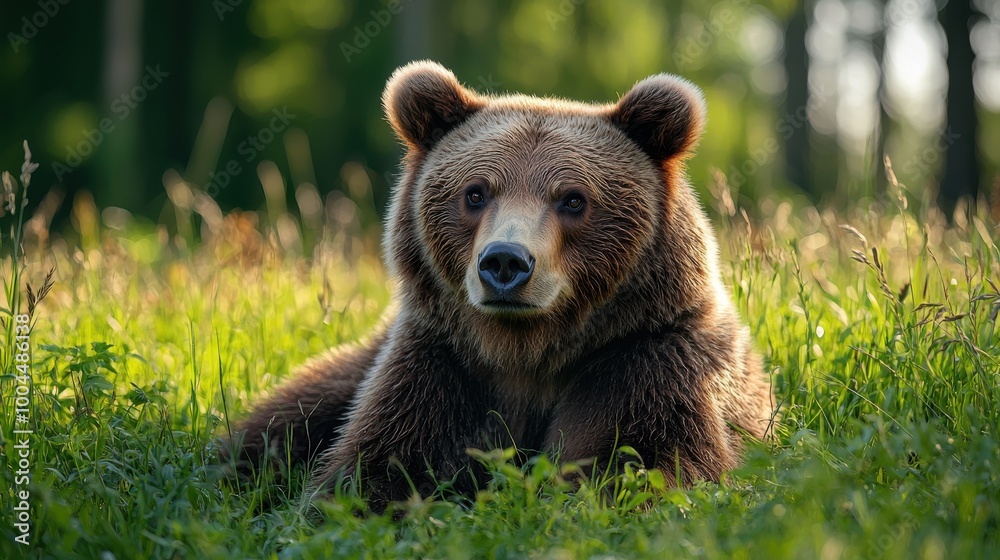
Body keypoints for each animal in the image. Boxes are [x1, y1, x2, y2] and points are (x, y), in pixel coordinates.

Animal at [230, 60, 775, 509]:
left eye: (573, 199)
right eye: (475, 192)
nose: (505, 262)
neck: (526, 351)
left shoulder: (645, 359)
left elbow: (643, 465)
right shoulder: (442, 364)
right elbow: (375, 469)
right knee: (279, 423)